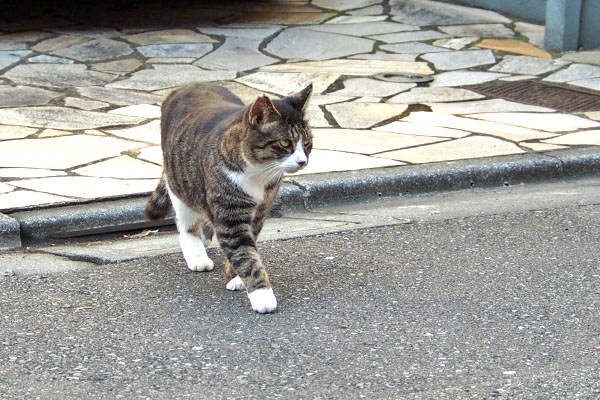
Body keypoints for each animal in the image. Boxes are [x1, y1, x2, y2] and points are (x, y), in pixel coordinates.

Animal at [146, 81, 314, 312]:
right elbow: (245, 255)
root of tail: (188, 85)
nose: (303, 162)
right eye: (284, 143)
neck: (257, 174)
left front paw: (235, 279)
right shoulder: (230, 215)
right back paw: (196, 254)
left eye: (307, 143)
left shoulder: (259, 212)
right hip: (179, 181)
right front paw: (262, 295)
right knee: (186, 223)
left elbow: (246, 247)